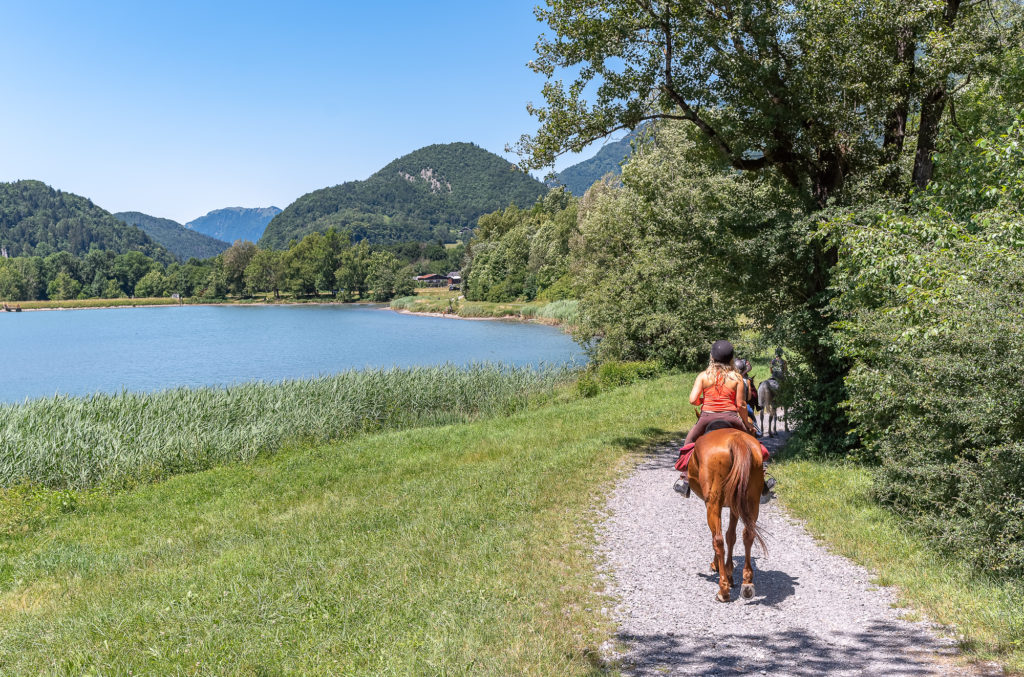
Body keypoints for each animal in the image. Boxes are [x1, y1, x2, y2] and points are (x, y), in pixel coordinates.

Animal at [688, 428, 770, 602]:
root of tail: (736, 441)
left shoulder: (711, 504)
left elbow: (720, 537)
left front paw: (719, 569)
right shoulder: (734, 505)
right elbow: (731, 536)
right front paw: (730, 573)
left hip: (713, 502)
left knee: (717, 540)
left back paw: (723, 589)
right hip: (752, 500)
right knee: (748, 535)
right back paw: (747, 583)